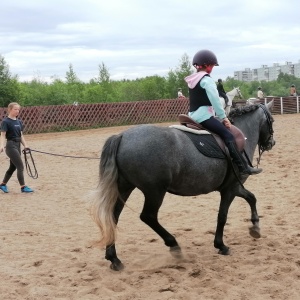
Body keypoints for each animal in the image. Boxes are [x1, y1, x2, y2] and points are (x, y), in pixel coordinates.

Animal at [92, 100, 276, 270]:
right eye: (272, 120)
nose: (271, 143)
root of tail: (122, 136)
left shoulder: (234, 187)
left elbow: (251, 198)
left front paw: (255, 227)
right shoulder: (229, 189)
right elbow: (222, 216)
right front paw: (221, 245)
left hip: (125, 187)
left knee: (113, 216)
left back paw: (114, 258)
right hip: (155, 191)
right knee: (148, 216)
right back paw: (174, 246)